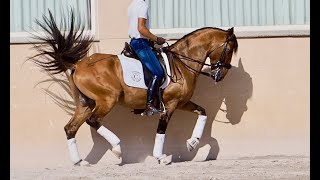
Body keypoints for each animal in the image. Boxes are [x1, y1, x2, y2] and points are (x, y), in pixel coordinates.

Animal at [30, 10, 238, 166]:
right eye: (229, 49)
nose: (220, 75)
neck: (182, 62)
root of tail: (77, 65)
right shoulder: (170, 105)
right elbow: (161, 130)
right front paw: (161, 157)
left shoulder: (181, 102)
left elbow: (203, 113)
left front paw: (192, 143)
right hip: (107, 99)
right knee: (93, 121)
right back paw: (117, 148)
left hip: (86, 103)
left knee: (70, 128)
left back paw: (80, 162)